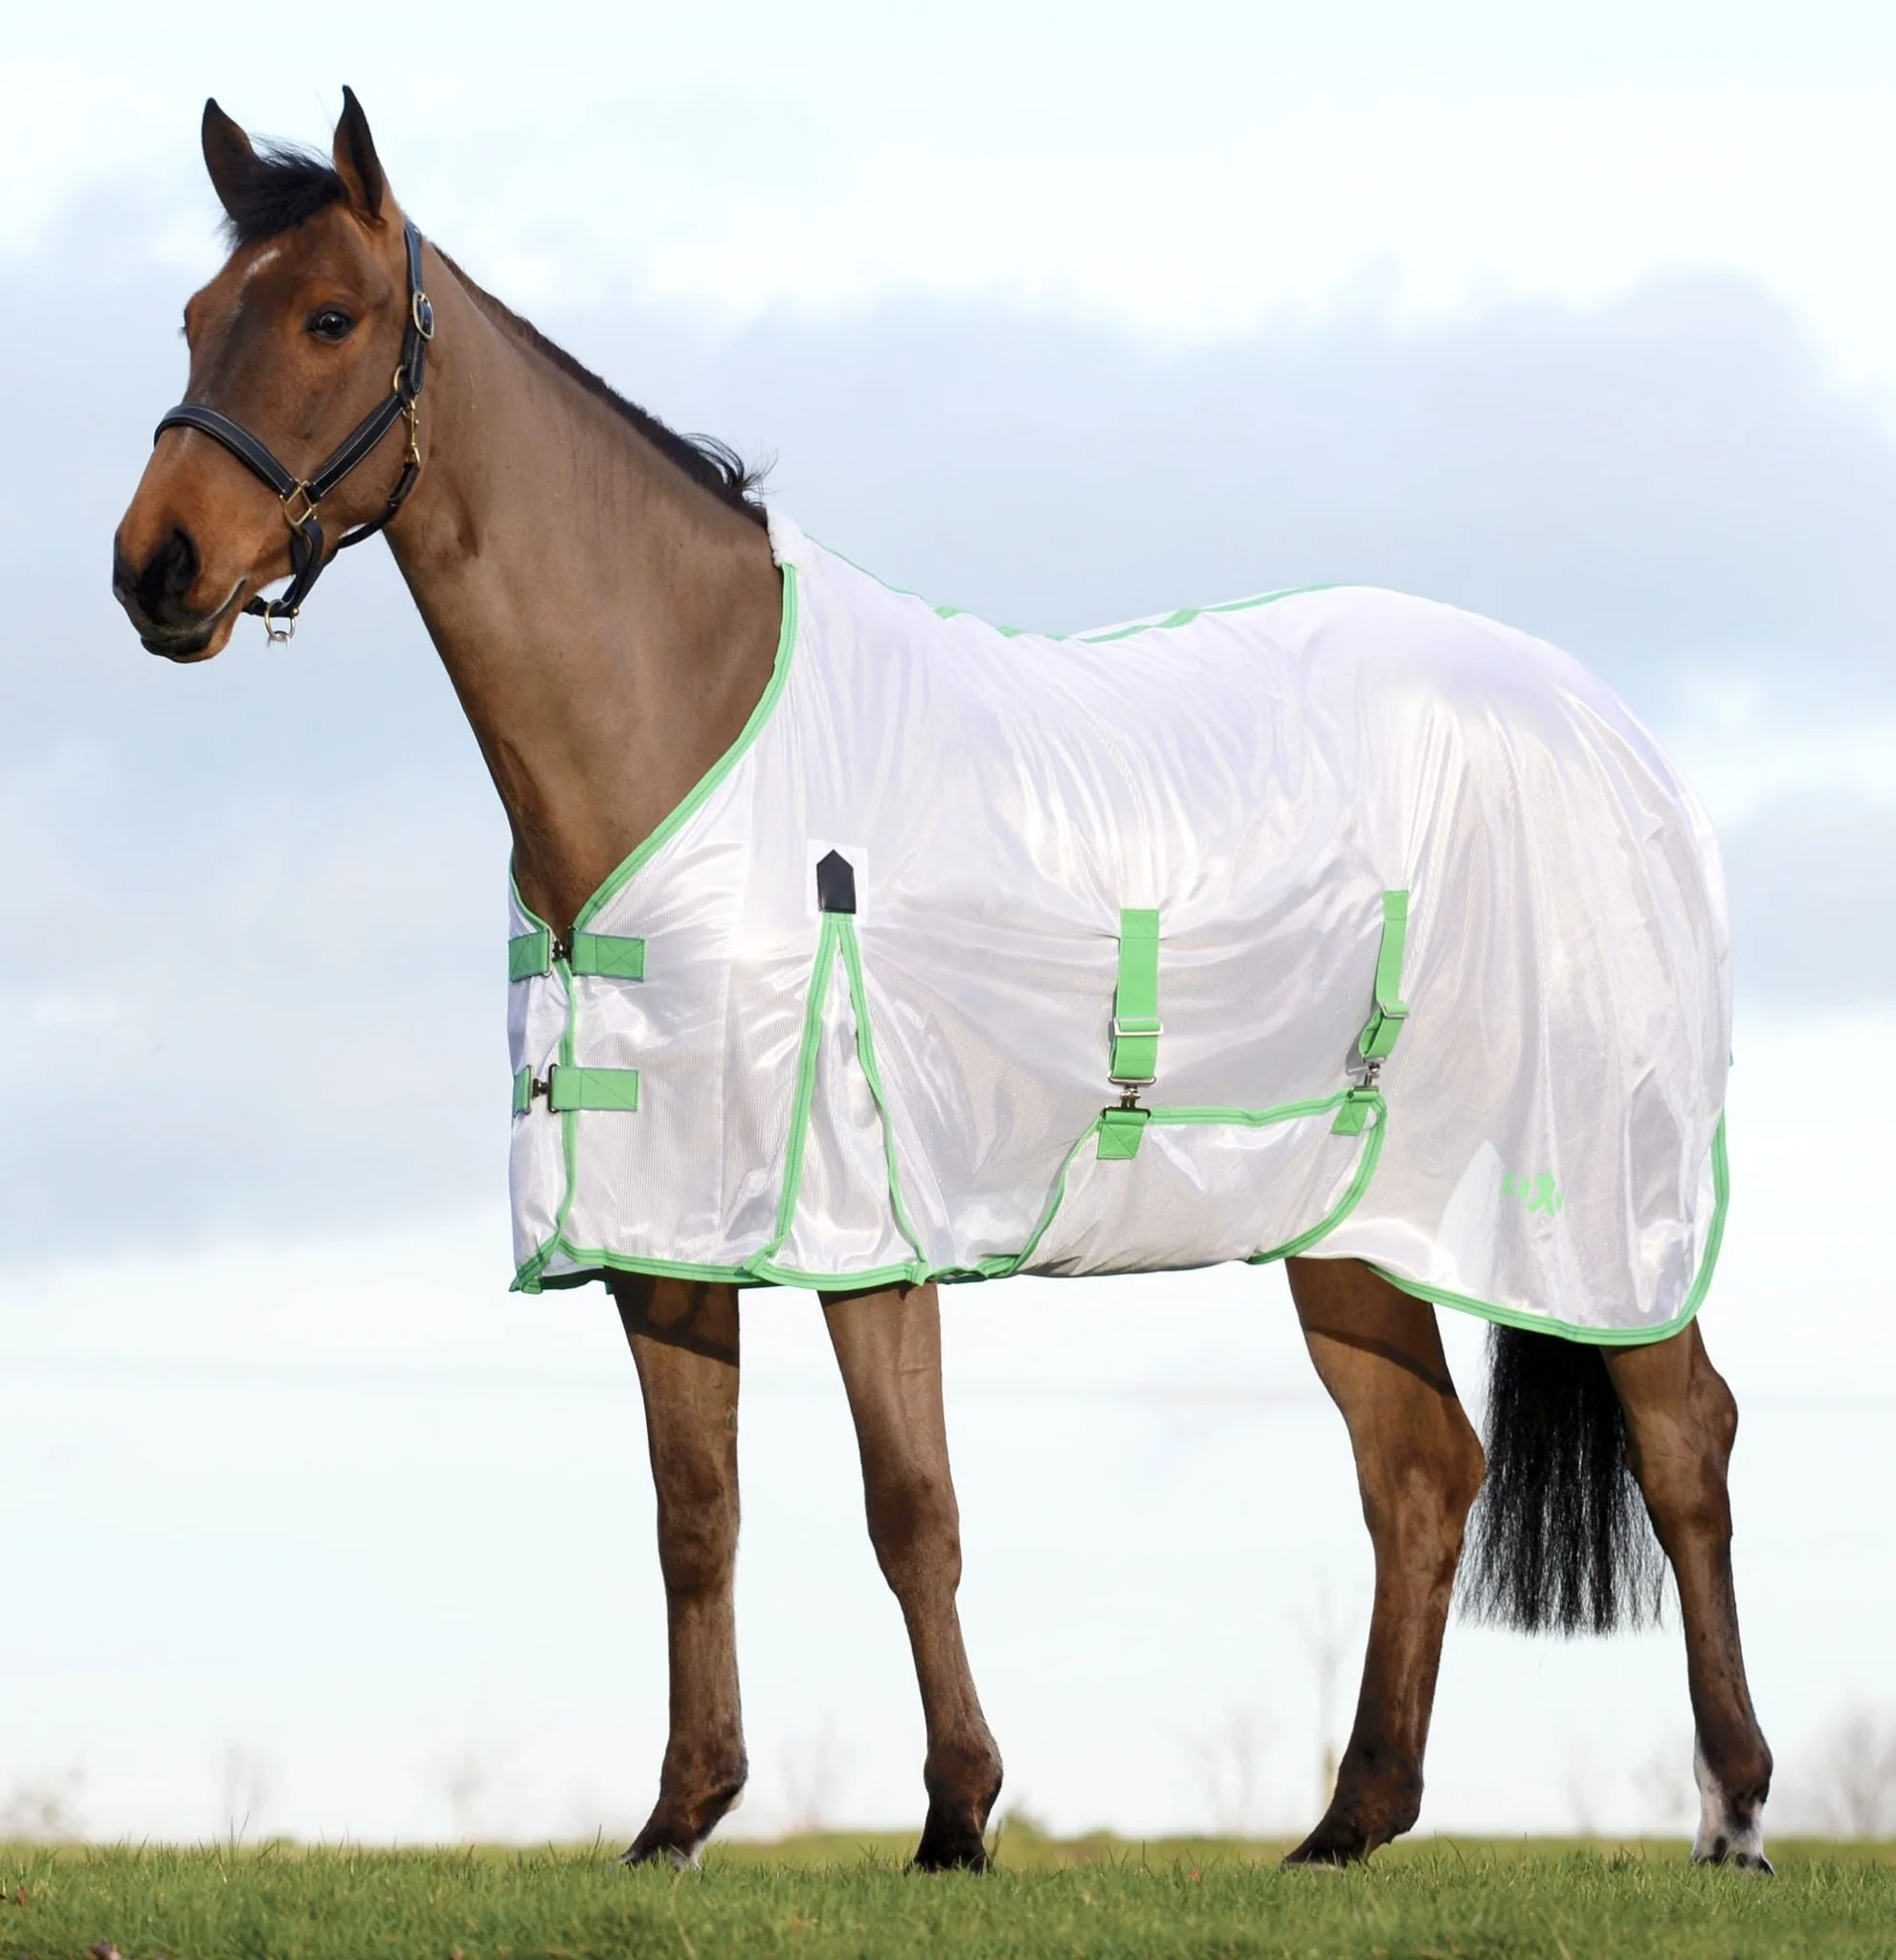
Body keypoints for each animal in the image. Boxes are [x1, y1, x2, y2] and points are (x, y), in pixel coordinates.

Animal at [111, 91, 1773, 1873]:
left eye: (329, 318)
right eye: (197, 320)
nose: (157, 567)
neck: (692, 727)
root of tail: (1605, 728)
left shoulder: (864, 1219)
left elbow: (910, 1509)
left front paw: (958, 1818)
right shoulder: (662, 1230)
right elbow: (695, 1516)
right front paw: (678, 1817)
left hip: (1598, 1195)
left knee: (1683, 1438)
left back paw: (1735, 1811)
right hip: (1350, 1223)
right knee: (1419, 1473)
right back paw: (1347, 1822)